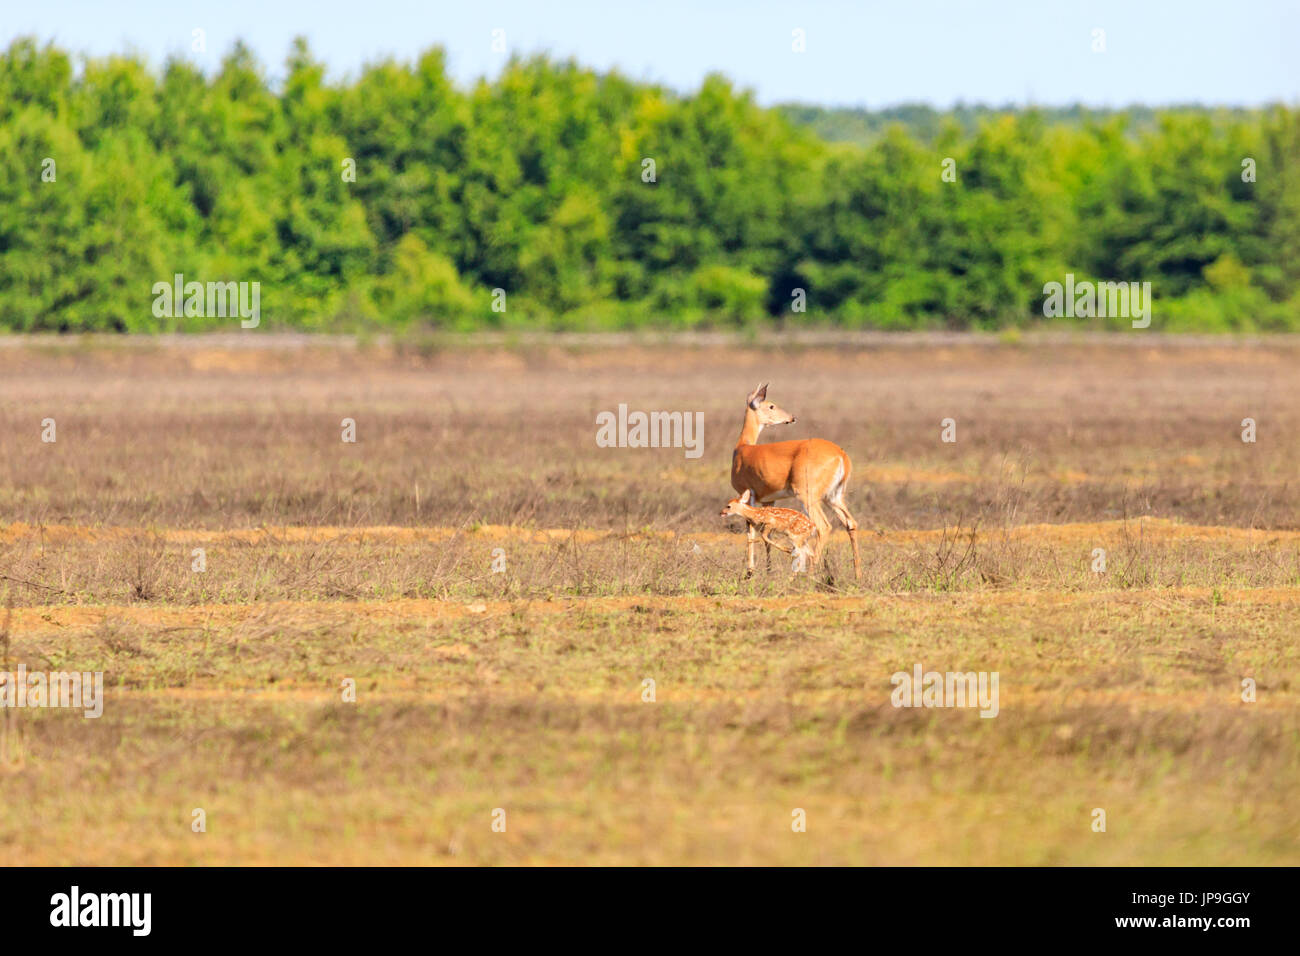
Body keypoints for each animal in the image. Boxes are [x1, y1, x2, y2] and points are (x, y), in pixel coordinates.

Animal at [731, 383, 861, 579]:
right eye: (771, 405)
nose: (792, 418)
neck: (743, 449)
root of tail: (841, 454)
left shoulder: (748, 495)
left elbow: (750, 530)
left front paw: (750, 572)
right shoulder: (769, 501)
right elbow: (765, 535)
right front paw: (768, 570)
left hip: (807, 497)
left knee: (823, 527)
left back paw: (810, 574)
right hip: (834, 498)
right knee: (850, 523)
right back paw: (858, 575)